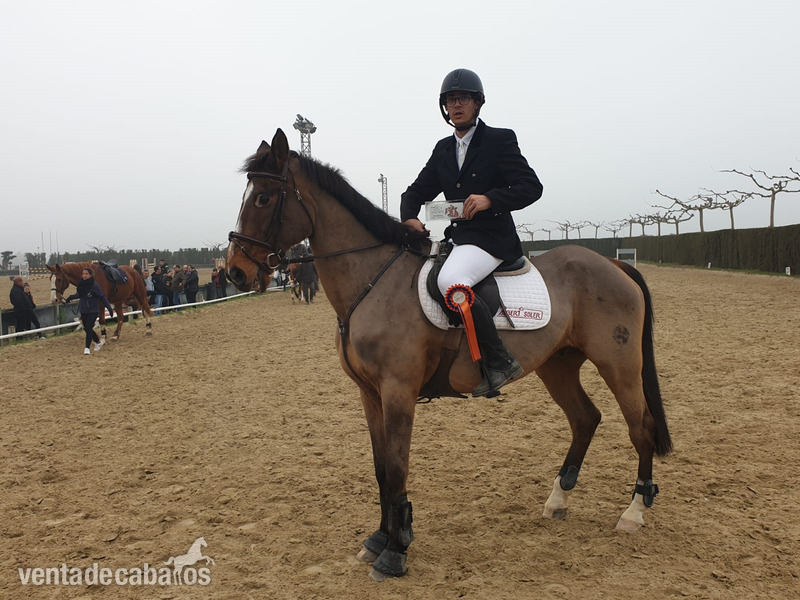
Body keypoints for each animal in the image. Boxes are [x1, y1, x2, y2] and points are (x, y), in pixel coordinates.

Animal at [226, 129, 672, 581]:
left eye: (263, 198)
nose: (236, 272)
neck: (373, 282)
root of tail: (614, 264)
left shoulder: (399, 391)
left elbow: (397, 469)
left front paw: (395, 552)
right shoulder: (369, 394)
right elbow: (381, 469)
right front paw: (378, 540)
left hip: (619, 365)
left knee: (641, 428)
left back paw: (633, 513)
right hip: (557, 365)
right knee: (585, 419)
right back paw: (557, 501)